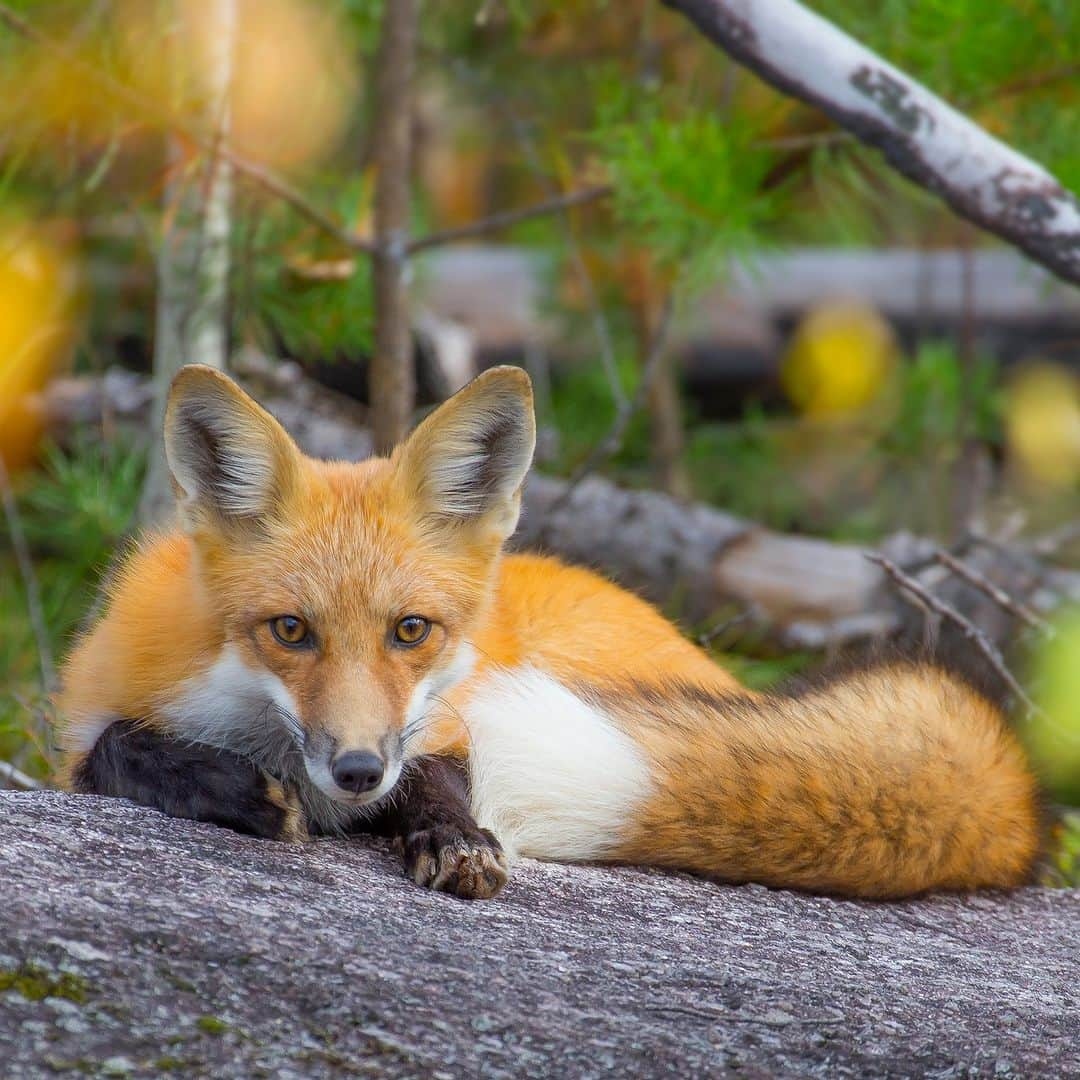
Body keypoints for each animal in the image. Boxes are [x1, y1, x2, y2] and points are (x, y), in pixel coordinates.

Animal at [54, 367, 1041, 898]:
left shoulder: (445, 720)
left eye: (411, 629)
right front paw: (232, 788)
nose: (358, 771)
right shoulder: (93, 713)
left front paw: (451, 836)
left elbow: (445, 778)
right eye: (290, 631)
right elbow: (115, 747)